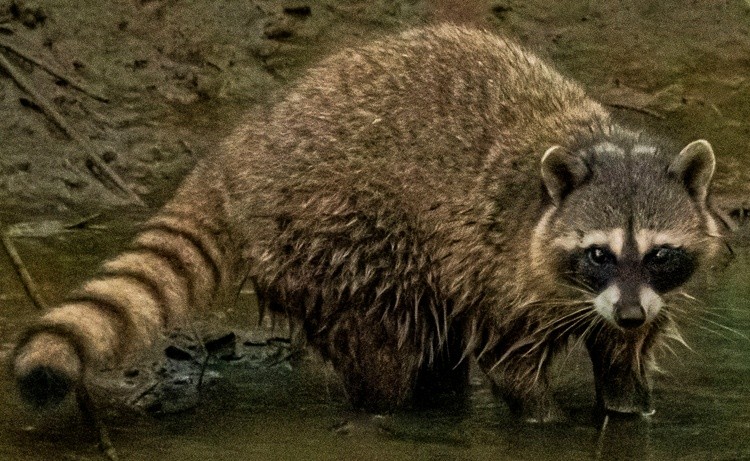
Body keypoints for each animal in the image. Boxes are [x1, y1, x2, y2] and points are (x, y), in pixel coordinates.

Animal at [12, 25, 724, 422]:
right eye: (598, 252)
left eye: (659, 253)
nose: (627, 313)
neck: (600, 145)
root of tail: (242, 148)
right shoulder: (501, 264)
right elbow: (510, 362)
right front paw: (542, 419)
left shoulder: (635, 294)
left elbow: (625, 356)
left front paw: (631, 405)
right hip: (333, 233)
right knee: (384, 337)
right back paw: (388, 410)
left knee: (432, 331)